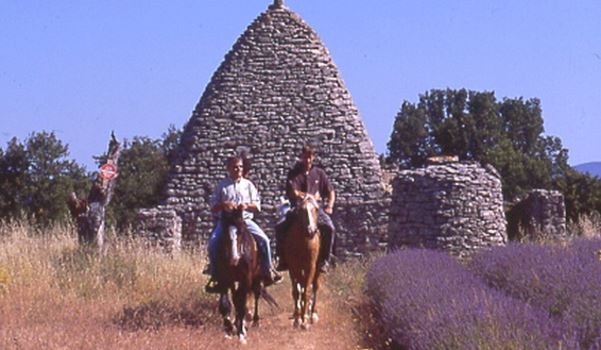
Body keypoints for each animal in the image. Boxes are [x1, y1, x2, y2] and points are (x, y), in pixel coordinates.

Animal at [216, 208, 262, 344]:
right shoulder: (225, 278)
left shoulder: (246, 279)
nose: (234, 258)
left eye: (240, 232)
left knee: (256, 294)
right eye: (225, 232)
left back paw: (255, 321)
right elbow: (226, 303)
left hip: (256, 279)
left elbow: (241, 304)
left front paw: (241, 334)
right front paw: (229, 328)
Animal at [282, 194, 322, 328]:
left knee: (315, 287)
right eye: (301, 210)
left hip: (318, 268)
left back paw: (313, 313)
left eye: (316, 209)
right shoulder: (293, 267)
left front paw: (305, 319)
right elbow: (297, 290)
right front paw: (298, 318)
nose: (311, 231)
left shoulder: (311, 266)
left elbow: (307, 290)